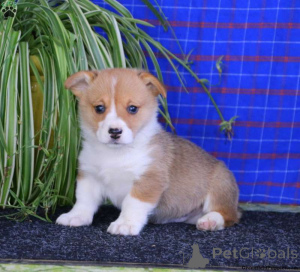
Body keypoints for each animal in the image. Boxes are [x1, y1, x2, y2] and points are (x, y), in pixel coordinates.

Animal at [55, 68, 240, 236]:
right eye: (99, 108)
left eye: (132, 108)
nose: (114, 132)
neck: (116, 153)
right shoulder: (89, 176)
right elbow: (84, 199)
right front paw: (75, 216)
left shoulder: (148, 180)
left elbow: (132, 203)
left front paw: (125, 224)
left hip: (220, 186)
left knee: (229, 215)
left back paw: (210, 221)